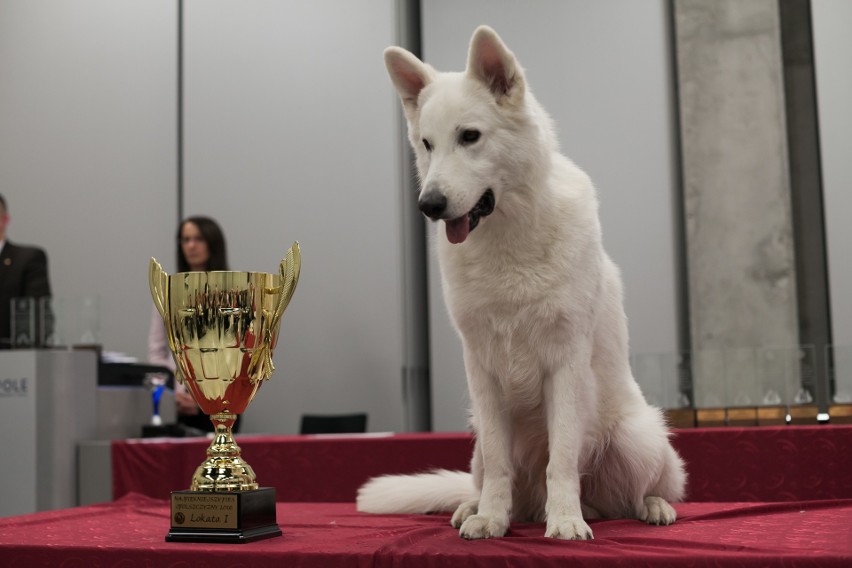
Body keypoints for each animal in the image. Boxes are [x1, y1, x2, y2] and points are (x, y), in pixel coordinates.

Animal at [356, 26, 688, 540]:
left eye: (469, 136)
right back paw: (474, 508)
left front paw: (566, 522)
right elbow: (499, 465)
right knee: (495, 479)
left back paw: (644, 508)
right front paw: (491, 519)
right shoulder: (483, 374)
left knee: (637, 493)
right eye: (427, 144)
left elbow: (563, 459)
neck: (507, 240)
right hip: (475, 444)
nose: (428, 205)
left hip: (639, 439)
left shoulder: (565, 365)